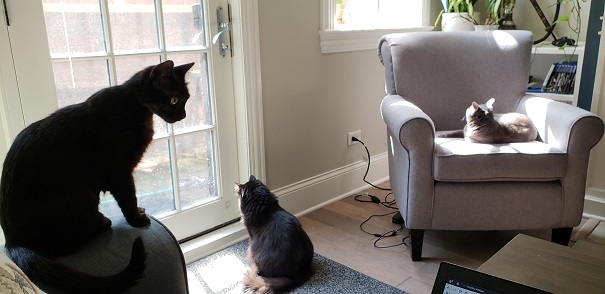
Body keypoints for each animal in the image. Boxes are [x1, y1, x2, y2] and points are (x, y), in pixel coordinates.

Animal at [0, 60, 193, 294]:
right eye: (174, 100)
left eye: (186, 100)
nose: (183, 116)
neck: (135, 106)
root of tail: (11, 241)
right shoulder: (119, 172)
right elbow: (128, 198)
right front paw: (137, 220)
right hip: (82, 195)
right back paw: (102, 222)